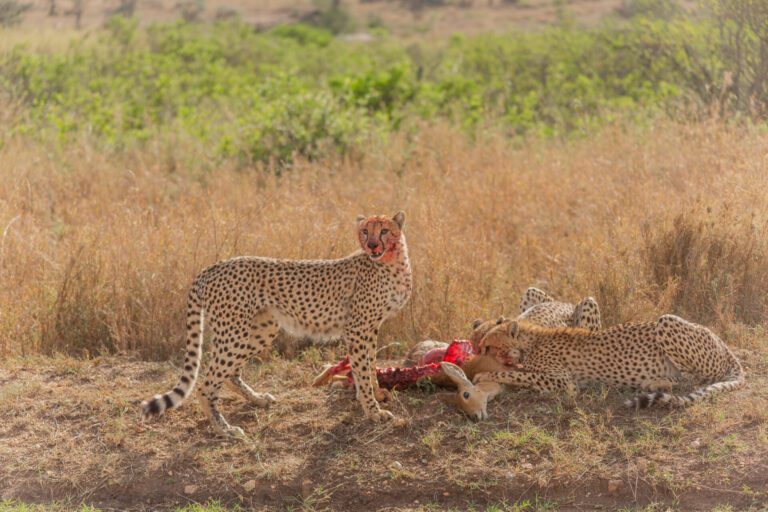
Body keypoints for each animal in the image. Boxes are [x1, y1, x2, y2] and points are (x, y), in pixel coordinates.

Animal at [140, 211, 412, 436]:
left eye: (384, 230)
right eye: (365, 231)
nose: (372, 244)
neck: (391, 262)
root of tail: (213, 266)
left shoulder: (371, 327)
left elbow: (370, 363)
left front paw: (377, 394)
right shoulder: (357, 328)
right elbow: (362, 369)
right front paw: (374, 412)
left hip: (260, 329)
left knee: (229, 374)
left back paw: (258, 399)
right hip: (235, 332)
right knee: (206, 384)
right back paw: (223, 428)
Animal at [475, 314, 745, 408]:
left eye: (488, 346)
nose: (477, 354)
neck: (531, 341)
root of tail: (723, 344)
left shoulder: (564, 383)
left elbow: (516, 374)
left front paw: (483, 375)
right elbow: (518, 371)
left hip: (666, 322)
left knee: (694, 380)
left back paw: (657, 383)